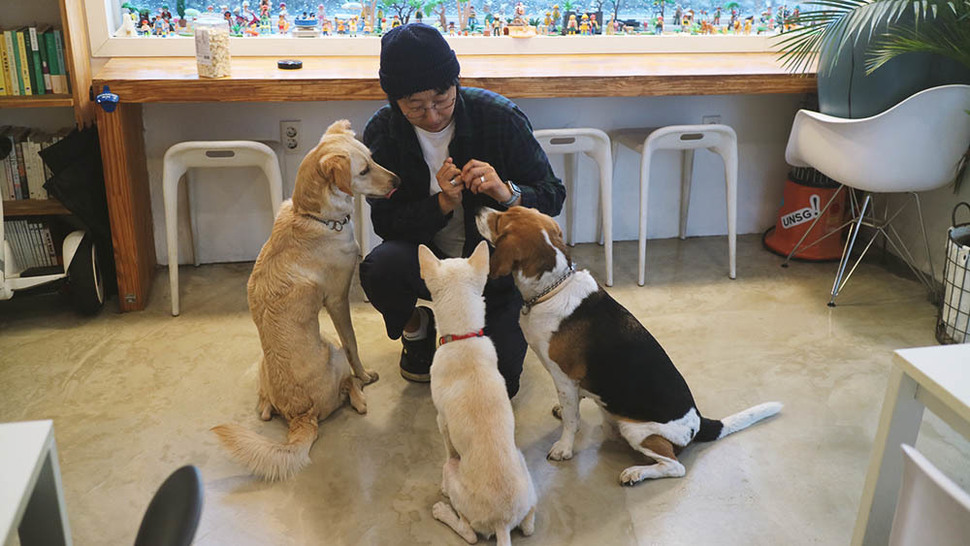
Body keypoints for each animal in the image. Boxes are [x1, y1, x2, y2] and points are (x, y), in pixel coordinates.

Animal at [215, 121, 398, 478]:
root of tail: (300, 415)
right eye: (365, 170)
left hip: (263, 367)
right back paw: (360, 393)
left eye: (373, 158)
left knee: (263, 408)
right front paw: (364, 374)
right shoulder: (338, 300)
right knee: (346, 384)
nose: (398, 181)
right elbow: (354, 343)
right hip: (332, 349)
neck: (312, 215)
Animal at [416, 242, 536, 544]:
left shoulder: (442, 421)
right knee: (529, 524)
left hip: (454, 476)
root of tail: (502, 522)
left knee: (468, 532)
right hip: (522, 464)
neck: (463, 337)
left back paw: (443, 508)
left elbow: (448, 446)